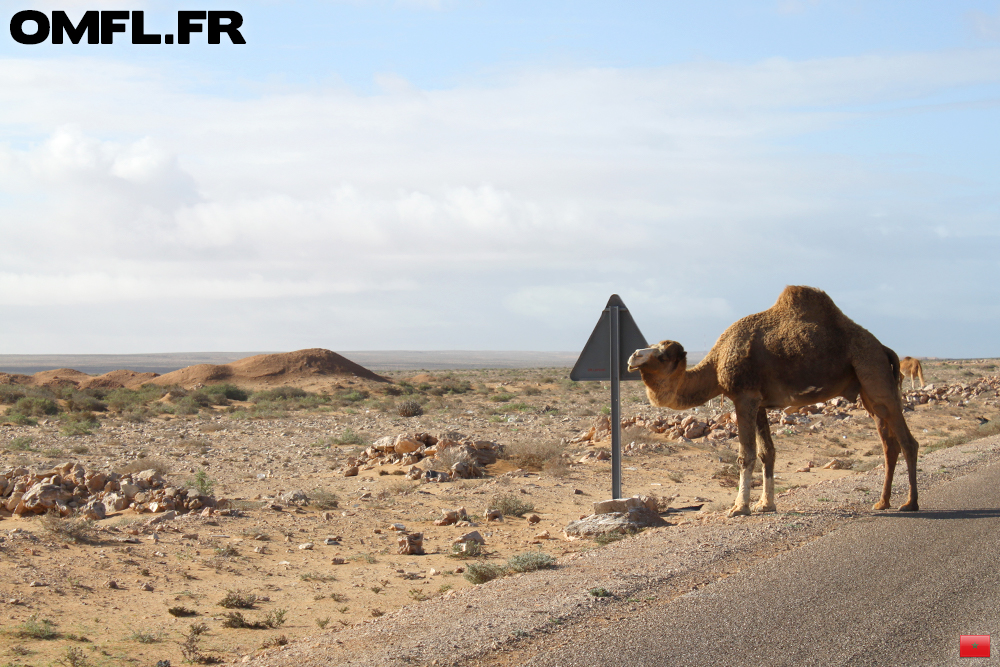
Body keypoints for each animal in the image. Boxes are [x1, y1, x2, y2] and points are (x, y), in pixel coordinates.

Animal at [628, 286, 916, 516]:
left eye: (663, 355)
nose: (633, 356)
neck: (717, 365)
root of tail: (884, 348)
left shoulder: (744, 397)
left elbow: (746, 454)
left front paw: (739, 508)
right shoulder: (760, 403)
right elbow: (768, 452)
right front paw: (766, 505)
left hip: (874, 372)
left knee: (907, 441)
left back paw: (910, 503)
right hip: (868, 389)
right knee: (889, 443)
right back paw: (882, 502)